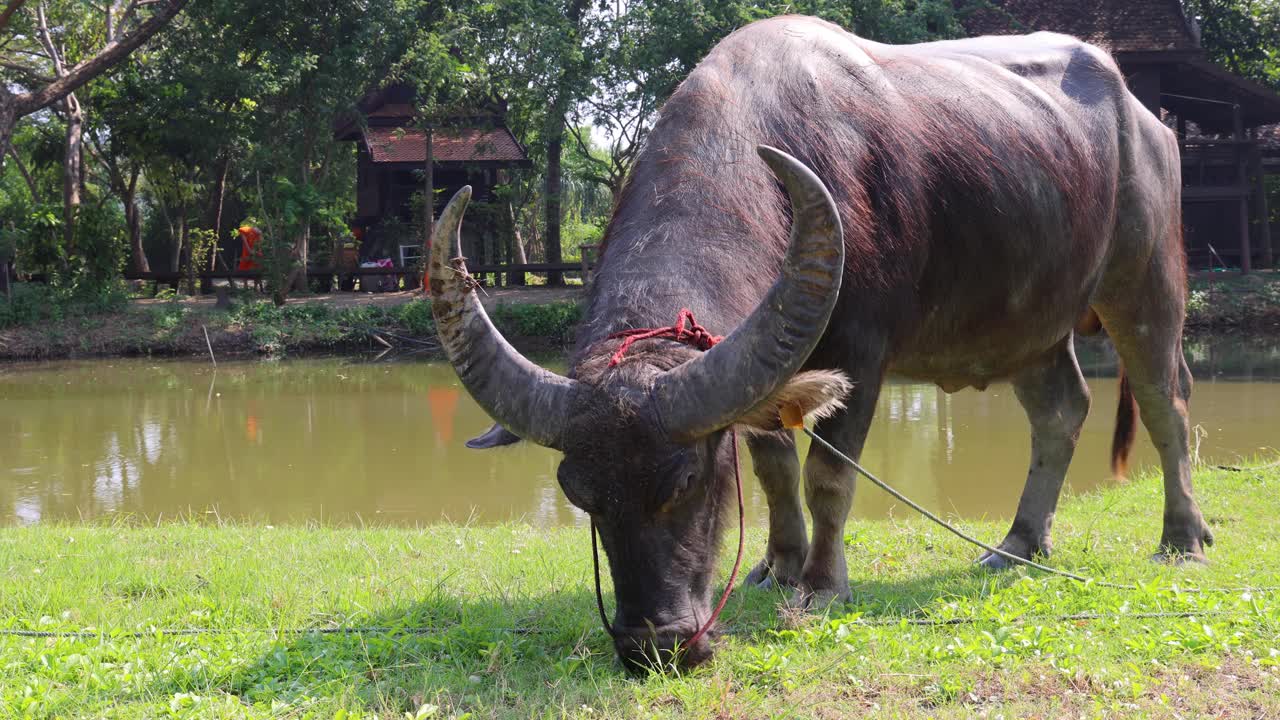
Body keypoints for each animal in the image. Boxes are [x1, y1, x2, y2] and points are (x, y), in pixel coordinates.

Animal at [432, 16, 1208, 666]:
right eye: (580, 493)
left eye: (684, 483)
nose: (653, 644)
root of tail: (1148, 120)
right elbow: (774, 465)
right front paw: (779, 565)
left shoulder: (861, 355)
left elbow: (828, 475)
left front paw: (823, 583)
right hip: (1030, 324)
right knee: (1061, 411)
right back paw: (1017, 544)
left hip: (1146, 283)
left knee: (1164, 402)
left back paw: (1182, 538)